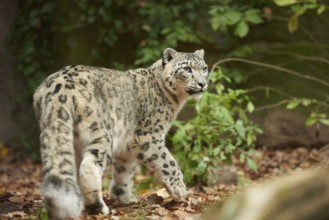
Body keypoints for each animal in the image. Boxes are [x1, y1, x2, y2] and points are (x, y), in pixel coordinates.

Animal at [33, 47, 208, 218]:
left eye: (204, 68)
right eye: (187, 69)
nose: (202, 84)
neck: (175, 102)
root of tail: (58, 85)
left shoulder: (128, 145)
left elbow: (124, 169)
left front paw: (124, 197)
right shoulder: (150, 136)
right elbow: (168, 161)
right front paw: (179, 189)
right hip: (100, 134)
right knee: (88, 167)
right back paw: (97, 207)